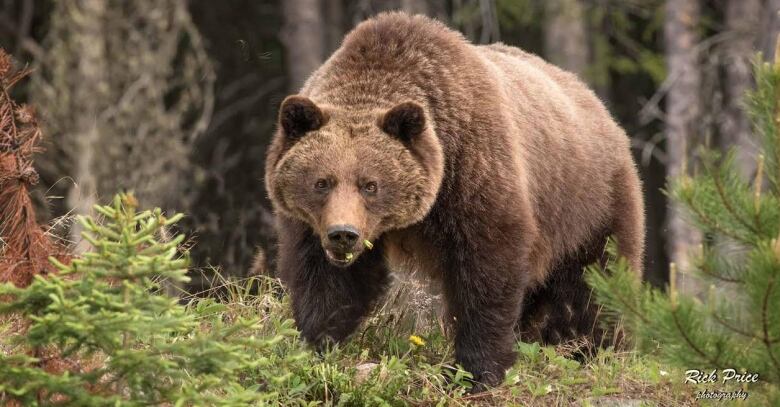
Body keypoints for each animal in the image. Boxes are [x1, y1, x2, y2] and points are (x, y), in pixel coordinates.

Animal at [266, 11, 644, 390]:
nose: (343, 234)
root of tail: (600, 108)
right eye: (322, 182)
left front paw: (475, 371)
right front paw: (316, 345)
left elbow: (486, 271)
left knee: (596, 283)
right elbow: (328, 282)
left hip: (589, 204)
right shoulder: (314, 226)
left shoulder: (473, 173)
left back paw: (596, 351)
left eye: (370, 185)